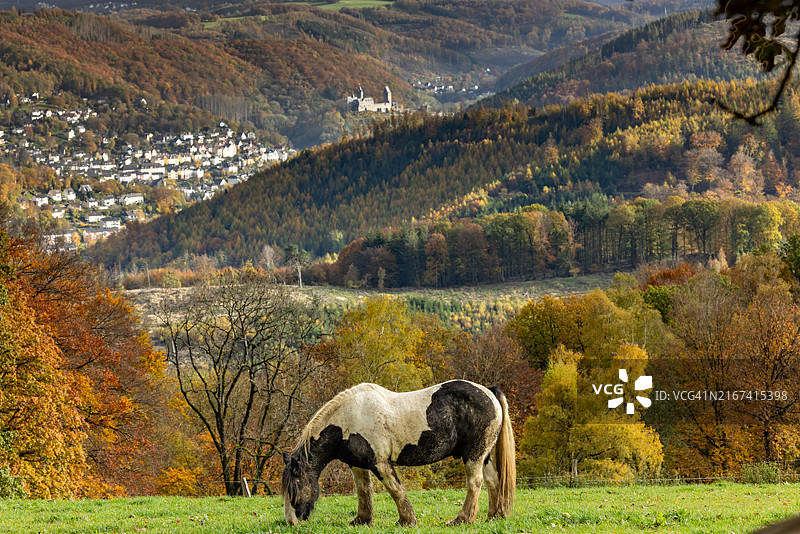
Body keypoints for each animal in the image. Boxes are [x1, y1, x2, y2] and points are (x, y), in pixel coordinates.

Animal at [281, 379, 516, 526]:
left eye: (295, 487)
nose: (291, 522)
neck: (349, 421)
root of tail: (488, 391)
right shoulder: (358, 465)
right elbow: (363, 491)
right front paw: (362, 520)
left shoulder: (381, 463)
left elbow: (395, 490)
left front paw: (407, 521)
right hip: (483, 456)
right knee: (493, 481)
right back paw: (495, 516)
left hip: (473, 455)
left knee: (475, 483)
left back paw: (462, 520)